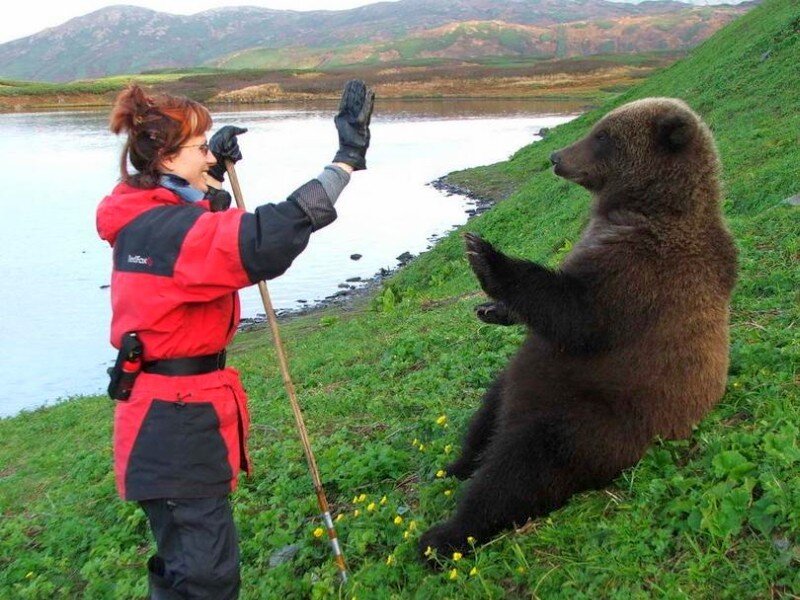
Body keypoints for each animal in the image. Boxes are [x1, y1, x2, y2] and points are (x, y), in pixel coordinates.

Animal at [419, 98, 738, 559]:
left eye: (602, 135)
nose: (556, 156)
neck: (644, 206)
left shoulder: (644, 274)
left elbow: (578, 316)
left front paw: (486, 255)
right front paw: (491, 308)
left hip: (601, 417)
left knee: (527, 465)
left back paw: (444, 535)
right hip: (528, 393)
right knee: (490, 410)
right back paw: (456, 464)